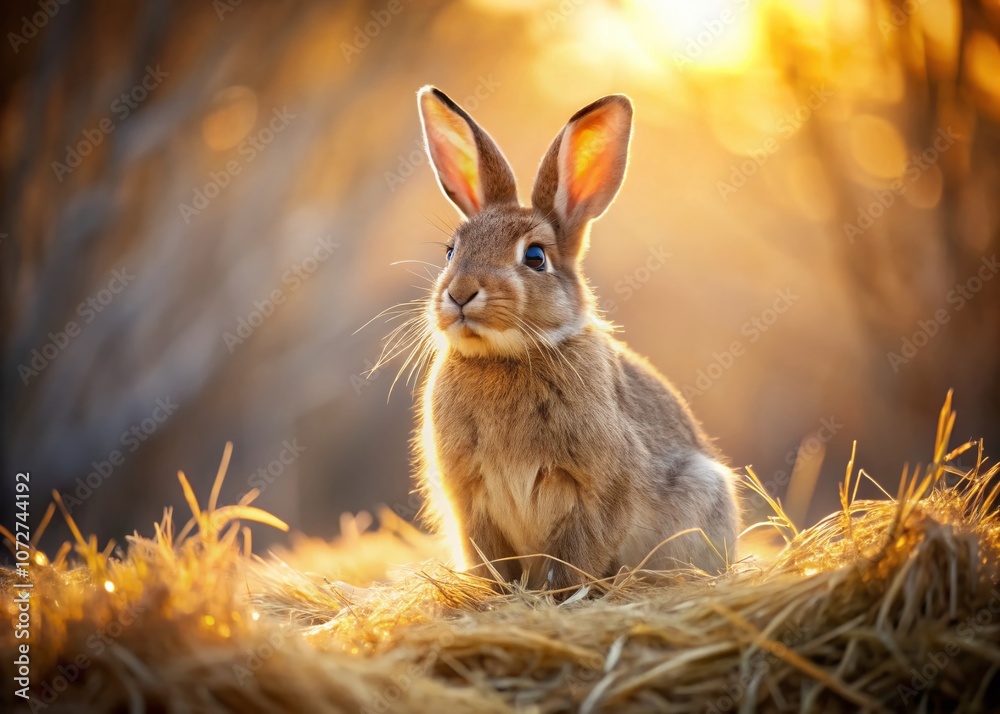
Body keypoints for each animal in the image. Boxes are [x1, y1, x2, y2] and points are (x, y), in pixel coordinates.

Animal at [407, 85, 739, 592]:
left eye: (535, 257)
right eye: (450, 251)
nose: (460, 292)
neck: (506, 356)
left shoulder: (593, 494)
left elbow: (571, 560)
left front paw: (558, 597)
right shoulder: (471, 502)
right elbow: (492, 564)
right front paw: (500, 597)